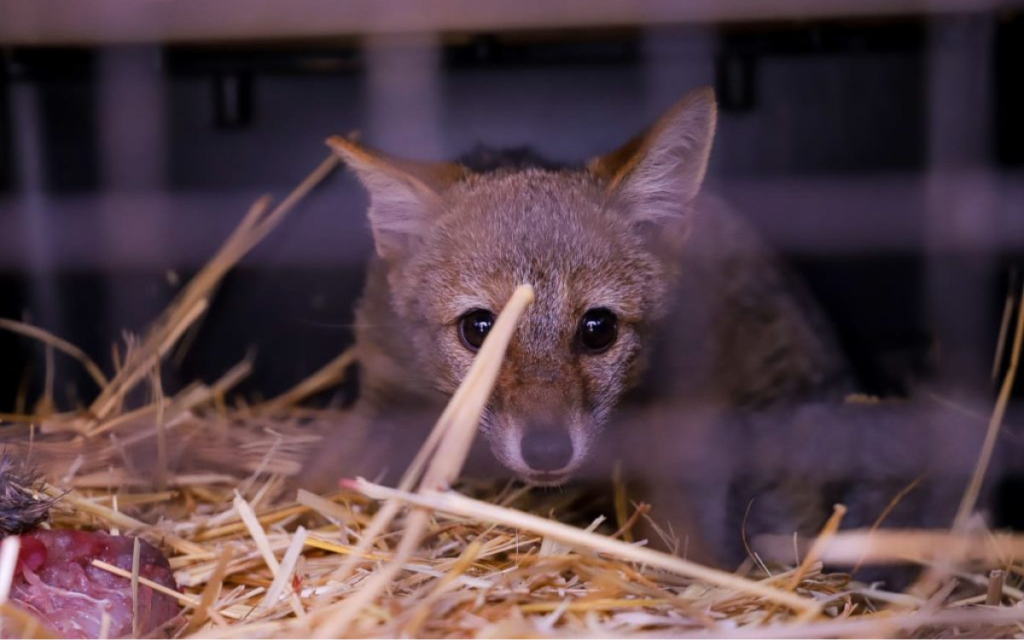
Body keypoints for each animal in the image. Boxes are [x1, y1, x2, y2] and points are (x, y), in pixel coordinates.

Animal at [301, 86, 991, 569]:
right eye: (479, 329)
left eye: (597, 328)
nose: (547, 451)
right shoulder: (385, 393)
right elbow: (315, 480)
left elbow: (685, 537)